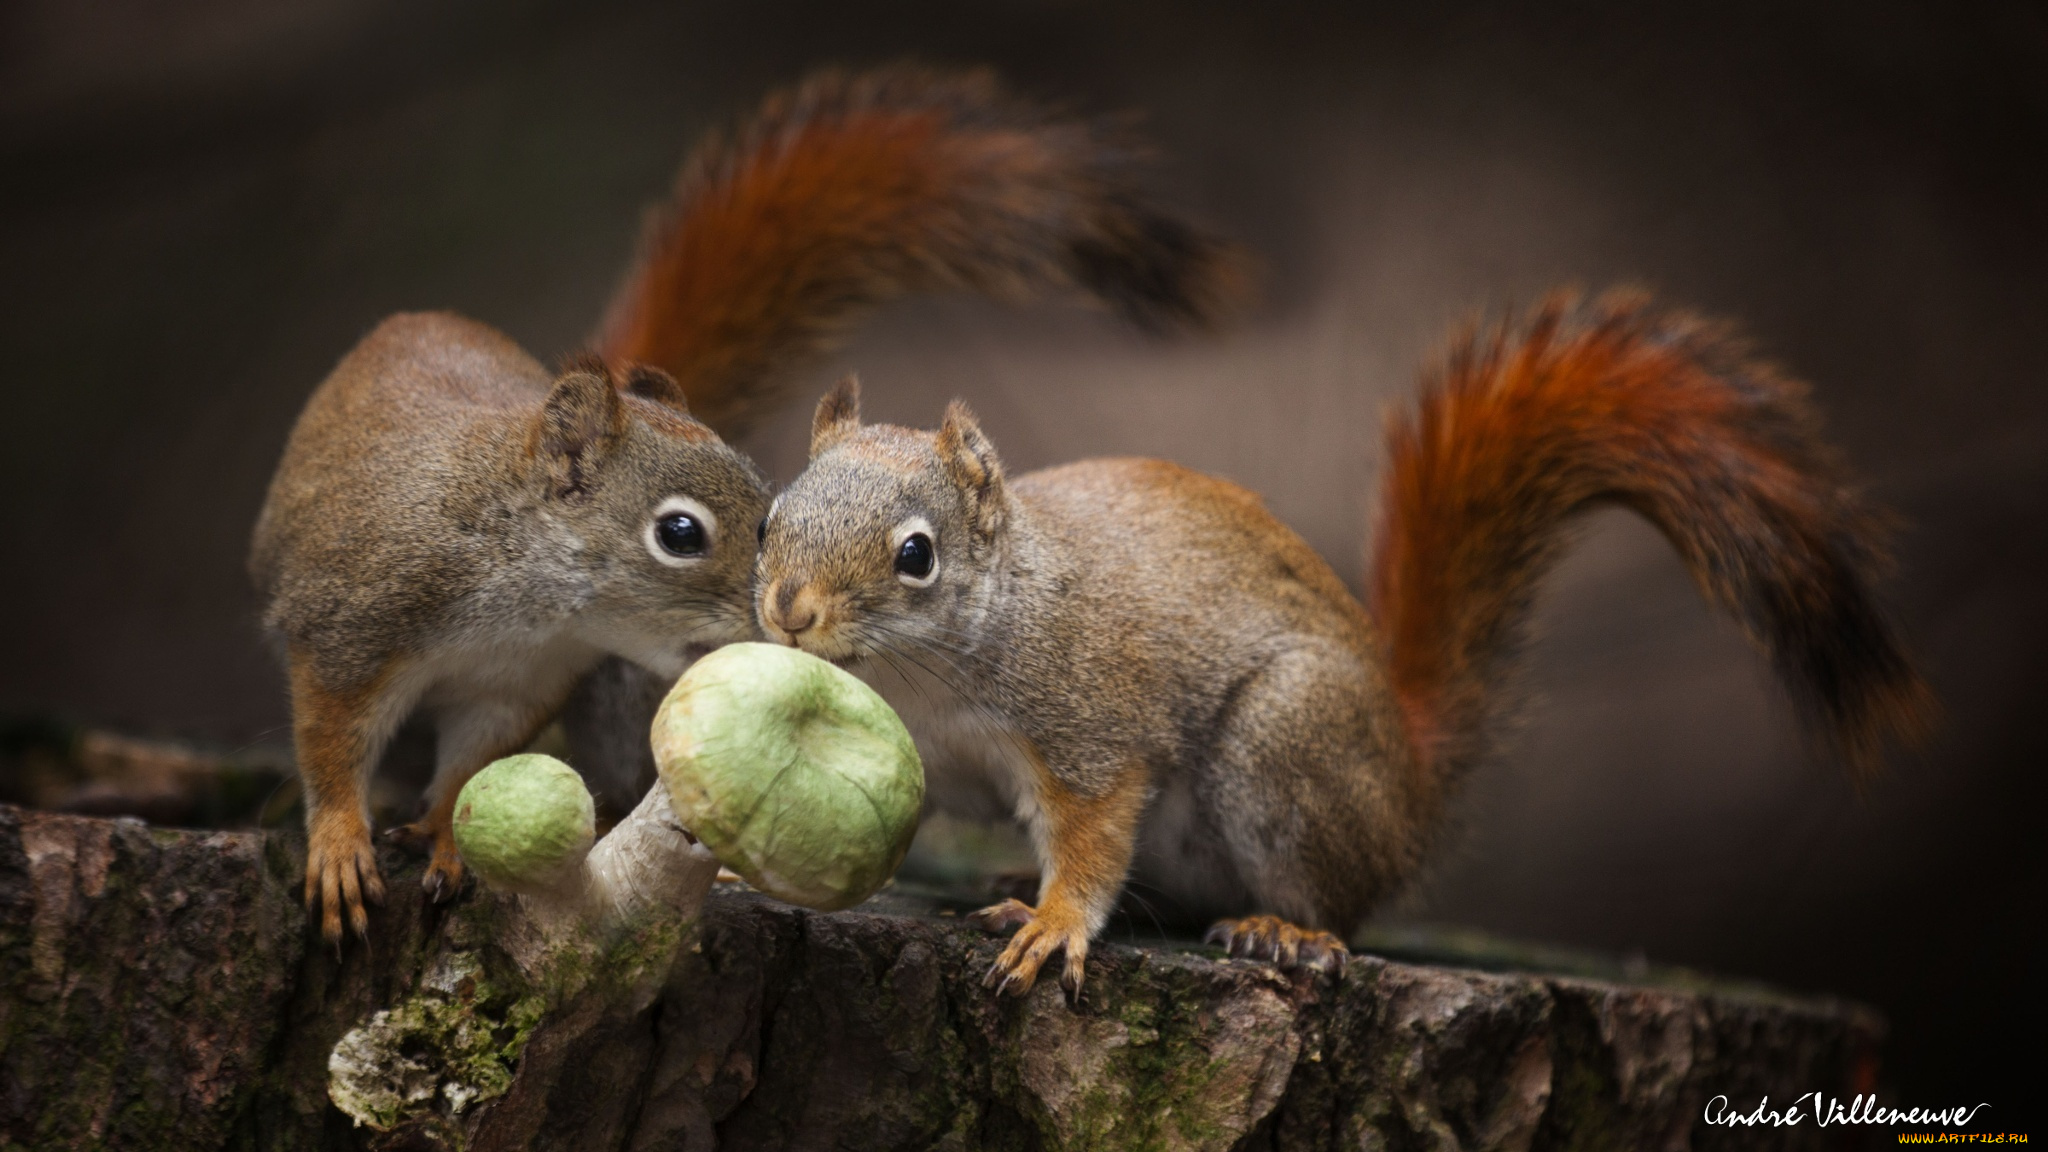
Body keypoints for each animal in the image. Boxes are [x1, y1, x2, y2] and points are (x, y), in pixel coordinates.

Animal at [247, 65, 1236, 942]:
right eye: (681, 533)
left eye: (770, 524)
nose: (774, 620)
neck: (522, 597)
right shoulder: (351, 623)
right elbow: (330, 739)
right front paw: (338, 846)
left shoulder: (521, 682)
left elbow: (469, 766)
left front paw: (447, 836)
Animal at [757, 289, 1933, 996]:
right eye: (770, 518)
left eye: (916, 555)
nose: (787, 612)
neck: (928, 678)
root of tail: (1409, 783)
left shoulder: (1089, 725)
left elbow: (1091, 838)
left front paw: (1051, 923)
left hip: (1286, 749)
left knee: (1333, 905)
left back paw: (1283, 933)